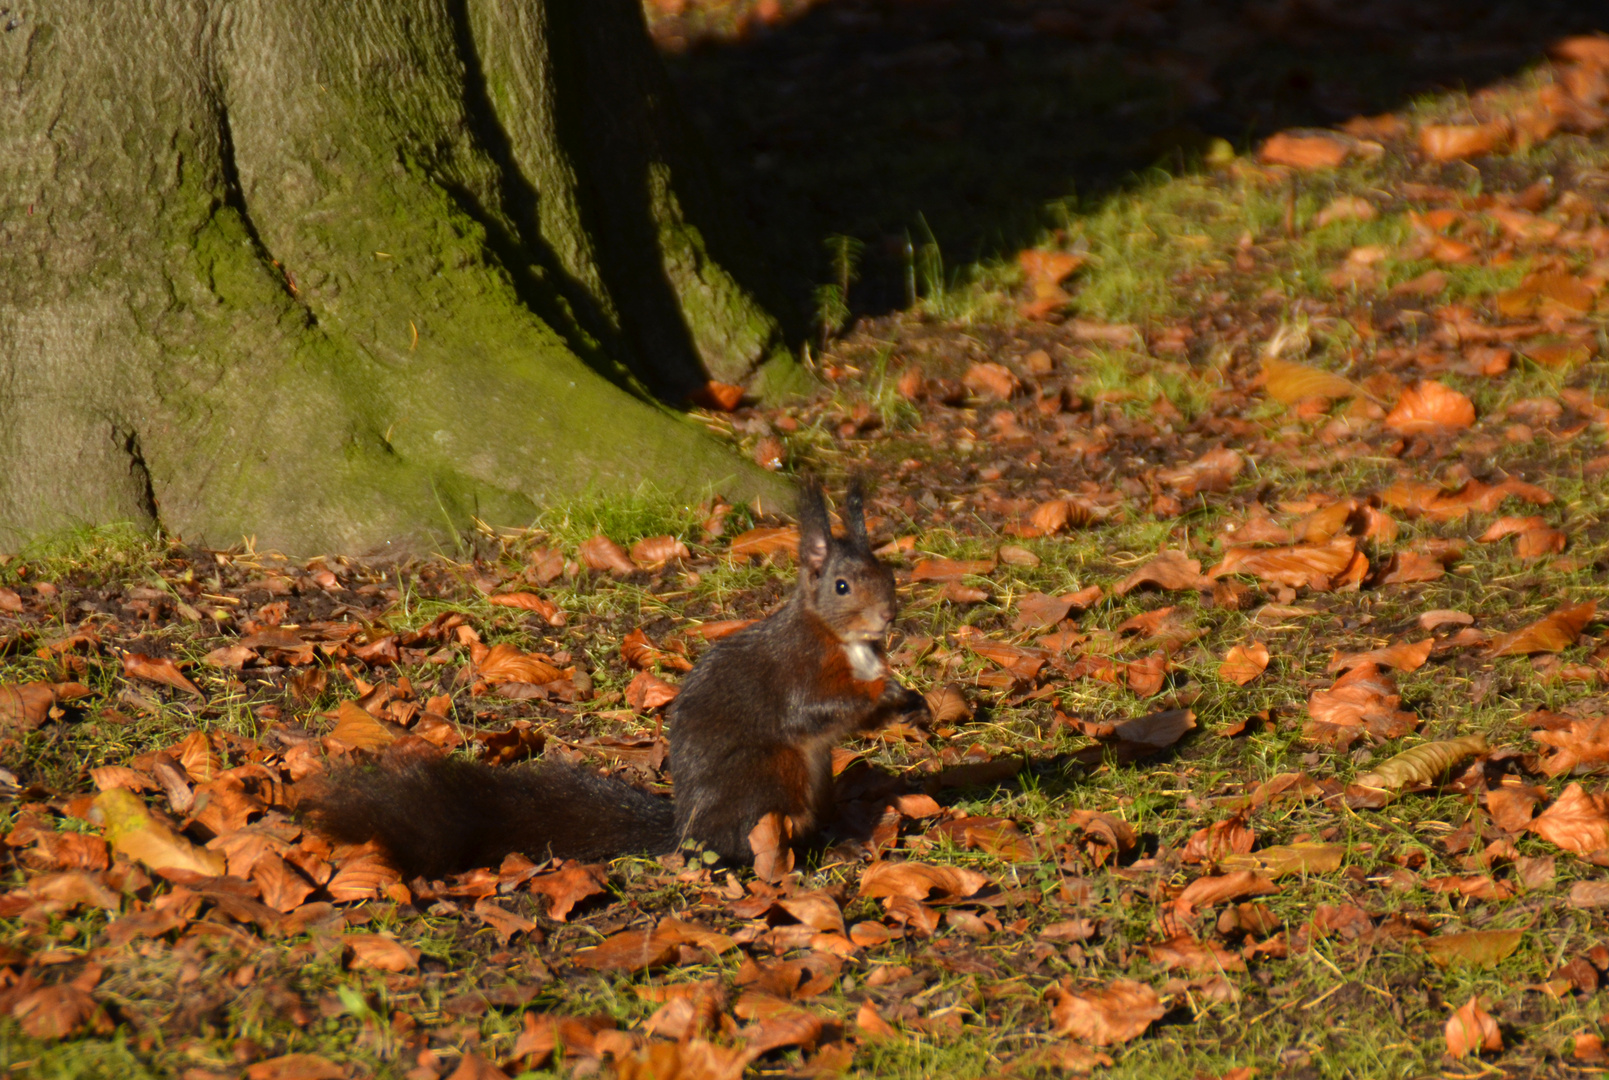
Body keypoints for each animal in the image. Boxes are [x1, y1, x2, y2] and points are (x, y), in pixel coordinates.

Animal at [302, 482, 933, 875]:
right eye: (842, 586)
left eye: (887, 572)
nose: (889, 616)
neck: (842, 640)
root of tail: (686, 833)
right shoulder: (799, 670)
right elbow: (810, 710)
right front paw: (882, 692)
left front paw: (912, 701)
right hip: (770, 779)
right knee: (744, 847)